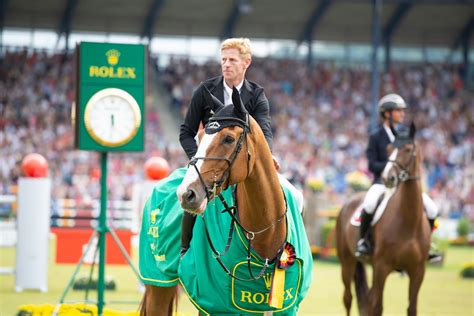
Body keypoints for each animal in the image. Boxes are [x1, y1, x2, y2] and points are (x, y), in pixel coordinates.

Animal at [139, 87, 312, 314]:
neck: (265, 234)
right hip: (157, 284)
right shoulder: (216, 305)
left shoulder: (286, 308)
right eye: (200, 136)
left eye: (228, 139)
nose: (186, 194)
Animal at [336, 124, 432, 316]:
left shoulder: (418, 271)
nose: (389, 178)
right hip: (347, 261)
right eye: (389, 149)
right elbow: (377, 307)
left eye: (408, 149)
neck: (409, 221)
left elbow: (412, 308)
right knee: (348, 298)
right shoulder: (382, 267)